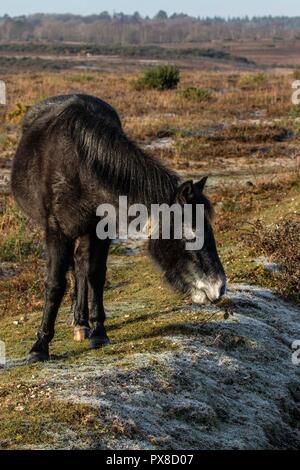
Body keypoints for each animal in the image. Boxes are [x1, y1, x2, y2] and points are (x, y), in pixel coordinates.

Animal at [12, 93, 227, 362]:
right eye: (189, 234)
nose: (219, 287)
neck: (79, 167)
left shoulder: (102, 230)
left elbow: (95, 275)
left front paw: (98, 332)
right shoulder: (56, 231)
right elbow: (54, 284)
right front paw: (40, 345)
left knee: (81, 266)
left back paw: (81, 322)